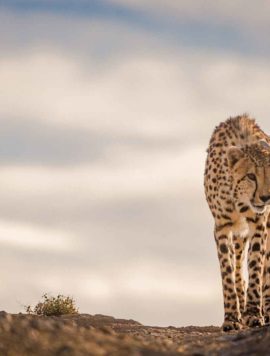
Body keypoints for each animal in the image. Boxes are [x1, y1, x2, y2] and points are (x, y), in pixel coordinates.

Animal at [204, 114, 270, 330]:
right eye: (251, 176)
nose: (266, 197)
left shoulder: (260, 224)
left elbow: (256, 266)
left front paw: (253, 313)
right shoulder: (222, 227)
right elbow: (228, 271)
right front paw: (233, 317)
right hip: (238, 236)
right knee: (238, 265)